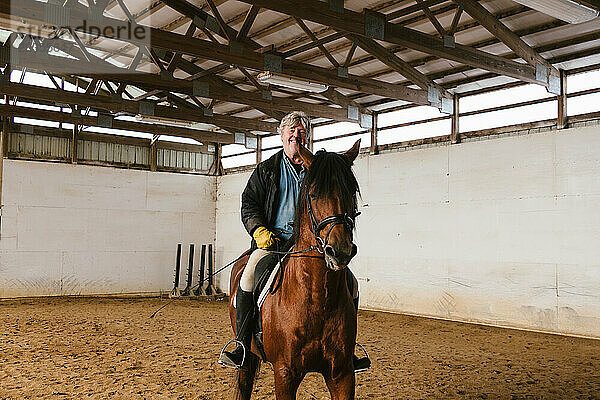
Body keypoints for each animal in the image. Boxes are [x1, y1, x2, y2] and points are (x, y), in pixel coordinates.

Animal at [227, 141, 360, 400]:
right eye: (313, 194)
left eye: (351, 192)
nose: (339, 251)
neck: (319, 296)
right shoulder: (285, 373)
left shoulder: (342, 373)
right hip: (247, 357)